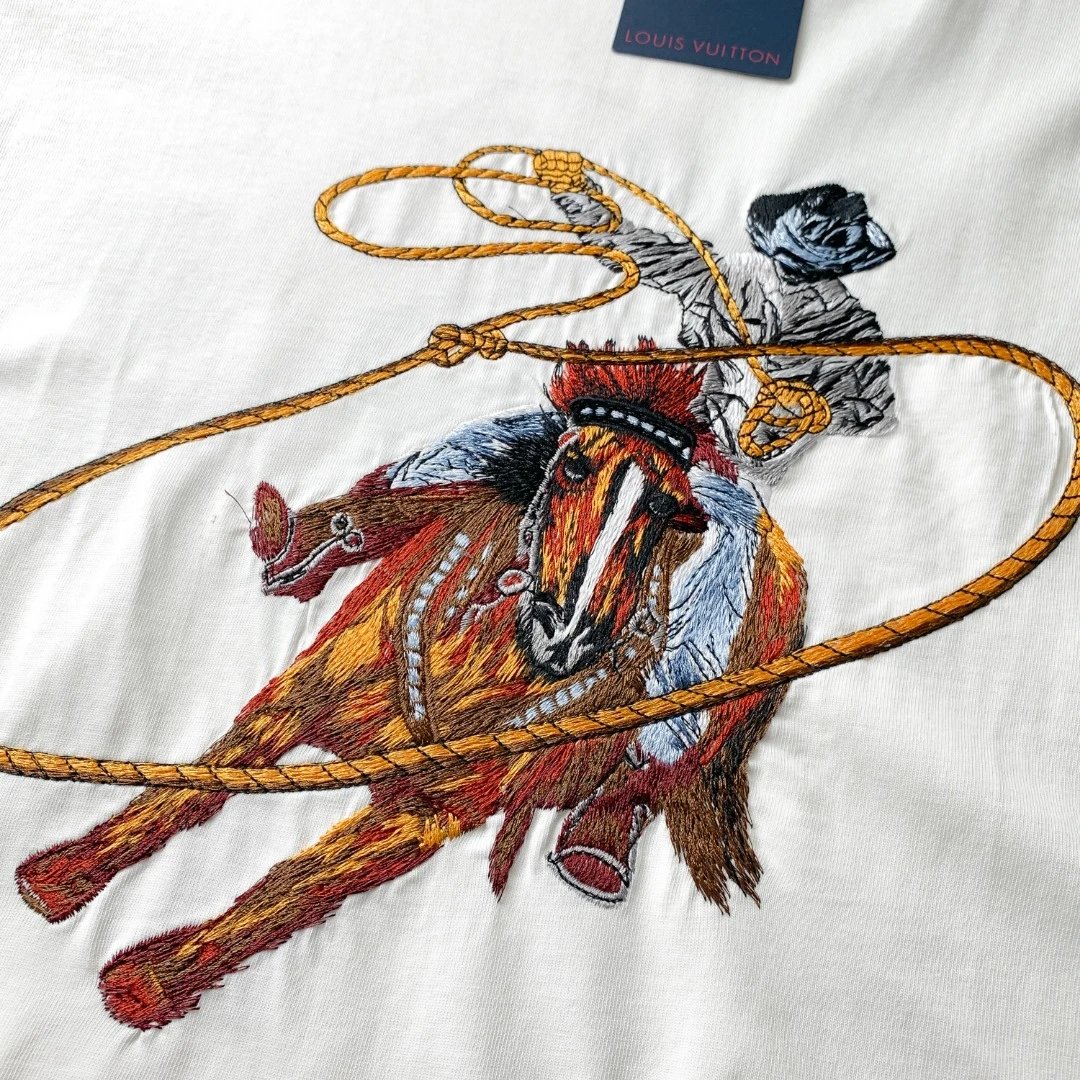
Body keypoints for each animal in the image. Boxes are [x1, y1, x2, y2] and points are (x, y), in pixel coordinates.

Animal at [14, 352, 806, 1029]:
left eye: (671, 514)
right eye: (573, 466)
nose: (569, 636)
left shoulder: (422, 816)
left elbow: (295, 887)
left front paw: (148, 983)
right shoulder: (294, 700)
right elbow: (190, 793)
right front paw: (61, 876)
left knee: (652, 769)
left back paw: (596, 848)